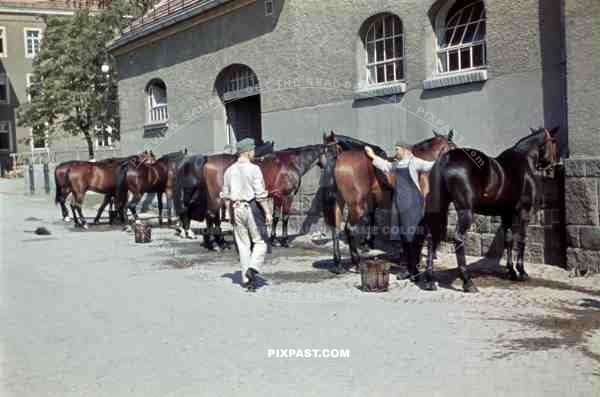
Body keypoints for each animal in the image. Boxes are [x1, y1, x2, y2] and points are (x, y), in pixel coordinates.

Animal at [318, 130, 454, 272]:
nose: (323, 164)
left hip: (339, 204)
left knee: (335, 228)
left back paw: (338, 263)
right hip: (356, 206)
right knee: (349, 229)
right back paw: (356, 262)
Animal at [424, 126, 560, 290]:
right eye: (553, 141)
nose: (553, 166)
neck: (525, 161)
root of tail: (447, 158)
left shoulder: (506, 214)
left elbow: (508, 240)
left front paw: (511, 272)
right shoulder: (524, 213)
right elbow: (521, 239)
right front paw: (522, 272)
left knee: (431, 238)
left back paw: (430, 280)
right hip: (465, 211)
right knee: (458, 239)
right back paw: (467, 281)